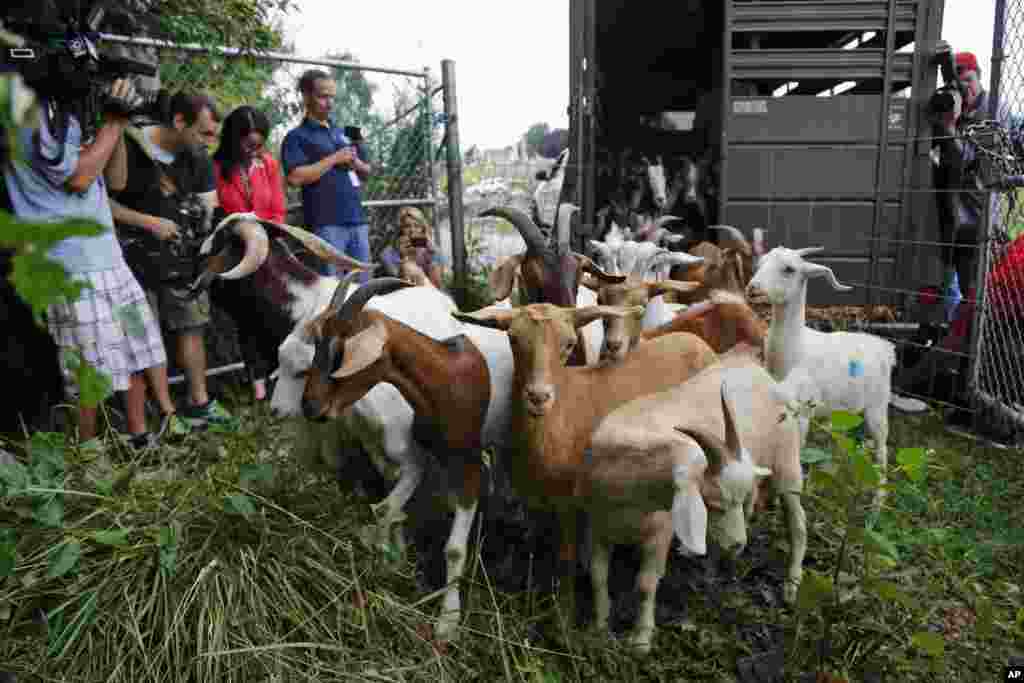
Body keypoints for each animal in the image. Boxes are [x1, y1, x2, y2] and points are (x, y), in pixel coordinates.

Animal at [456, 303, 720, 647]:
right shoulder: (534, 503)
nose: (538, 397)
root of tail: (696, 341)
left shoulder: (571, 505)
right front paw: (534, 607)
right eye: (513, 339)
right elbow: (539, 552)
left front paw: (563, 620)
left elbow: (566, 560)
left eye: (570, 344)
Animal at [585, 348, 806, 651]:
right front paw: (599, 628)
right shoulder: (597, 529)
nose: (739, 545)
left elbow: (645, 584)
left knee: (798, 522)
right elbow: (597, 576)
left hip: (787, 463)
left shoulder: (660, 533)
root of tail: (758, 369)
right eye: (713, 504)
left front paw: (641, 640)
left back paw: (792, 584)